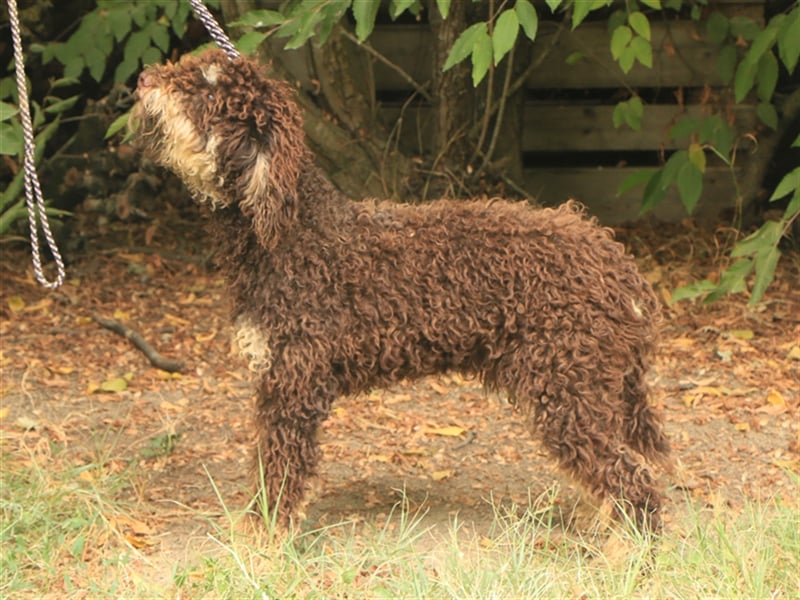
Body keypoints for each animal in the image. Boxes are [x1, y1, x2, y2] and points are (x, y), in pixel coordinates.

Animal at [134, 50, 672, 536]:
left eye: (208, 92)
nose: (143, 80)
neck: (295, 233)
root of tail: (618, 265)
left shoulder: (292, 385)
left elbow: (279, 476)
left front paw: (264, 542)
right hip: (588, 388)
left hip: (566, 387)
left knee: (634, 481)